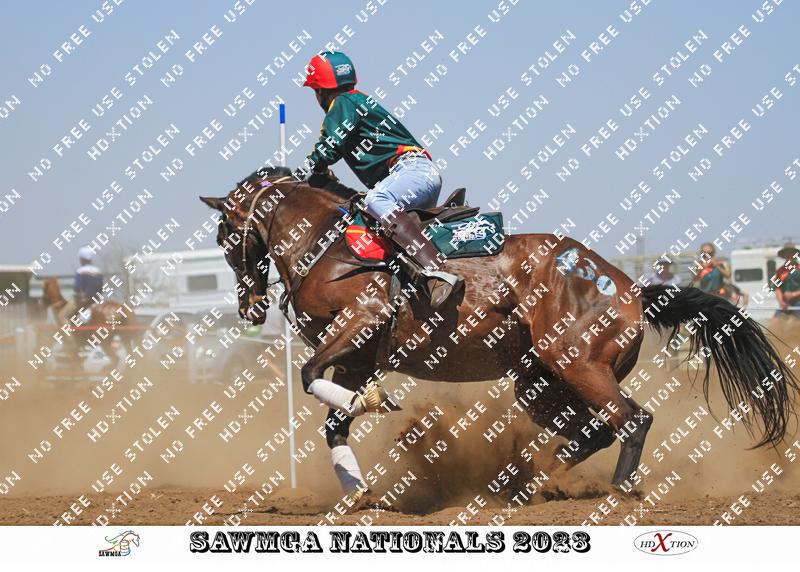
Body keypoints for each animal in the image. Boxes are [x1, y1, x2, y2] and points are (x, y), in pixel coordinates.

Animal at [199, 167, 798, 499]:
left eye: (226, 233)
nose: (249, 306)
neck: (328, 244)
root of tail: (632, 289)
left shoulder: (360, 323)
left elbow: (309, 376)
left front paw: (373, 407)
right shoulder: (359, 357)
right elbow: (333, 421)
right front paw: (356, 490)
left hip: (578, 364)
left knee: (632, 420)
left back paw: (612, 486)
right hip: (540, 382)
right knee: (595, 431)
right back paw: (534, 478)